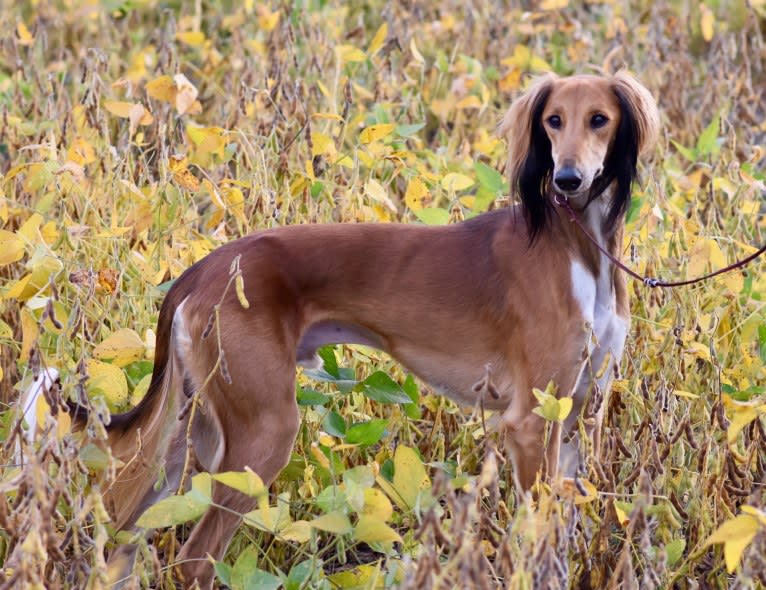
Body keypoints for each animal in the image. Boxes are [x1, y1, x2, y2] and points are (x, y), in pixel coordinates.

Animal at [58, 70, 660, 588]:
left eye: (600, 119)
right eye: (553, 120)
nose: (567, 179)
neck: (577, 244)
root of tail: (203, 268)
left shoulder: (576, 417)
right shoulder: (533, 422)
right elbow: (537, 541)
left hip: (186, 439)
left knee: (123, 544)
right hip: (262, 433)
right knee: (193, 560)